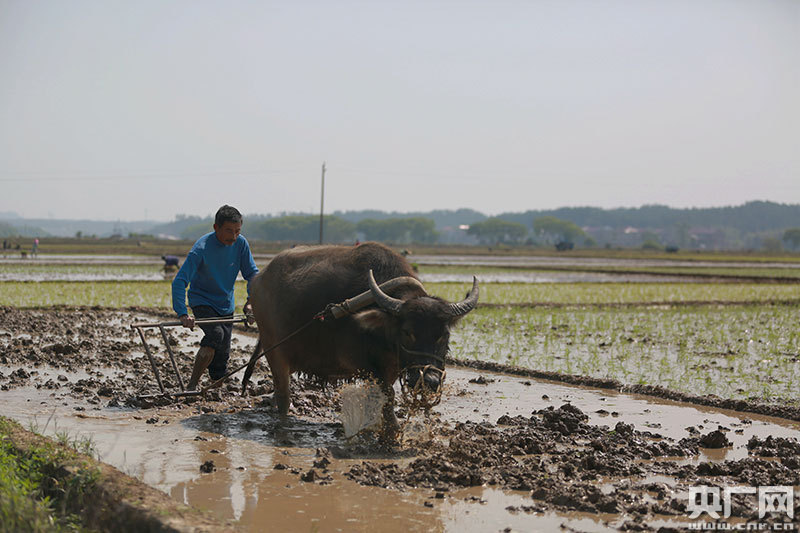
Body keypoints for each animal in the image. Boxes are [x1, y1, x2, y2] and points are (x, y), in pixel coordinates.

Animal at [243, 242, 479, 439]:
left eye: (443, 334)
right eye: (407, 332)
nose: (428, 380)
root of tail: (258, 280)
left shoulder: (390, 368)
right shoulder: (361, 363)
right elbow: (387, 395)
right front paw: (392, 434)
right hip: (275, 351)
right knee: (283, 394)